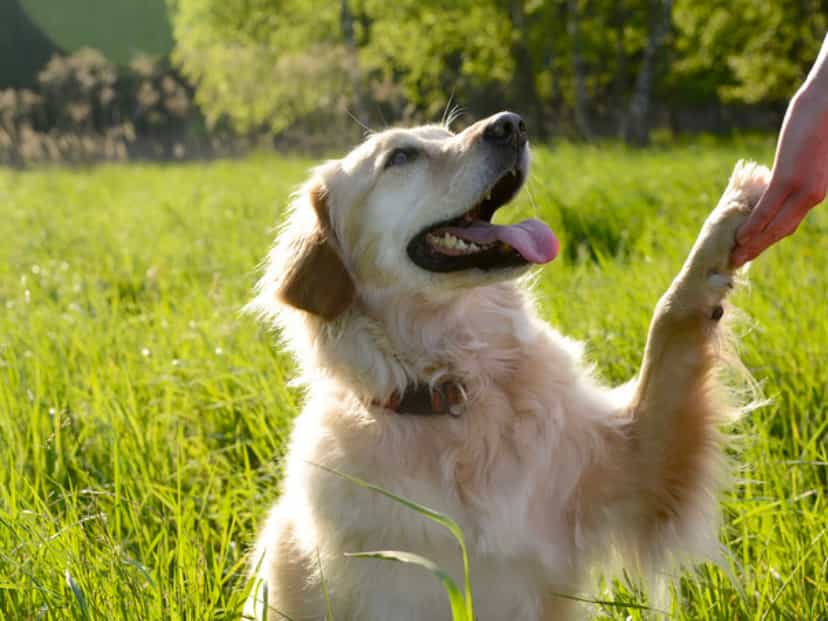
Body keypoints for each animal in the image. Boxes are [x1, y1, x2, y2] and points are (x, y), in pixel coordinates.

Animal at [243, 112, 768, 620]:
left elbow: (669, 324)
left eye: (447, 131)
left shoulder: (638, 470)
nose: (511, 124)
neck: (459, 391)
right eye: (401, 156)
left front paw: (732, 211)